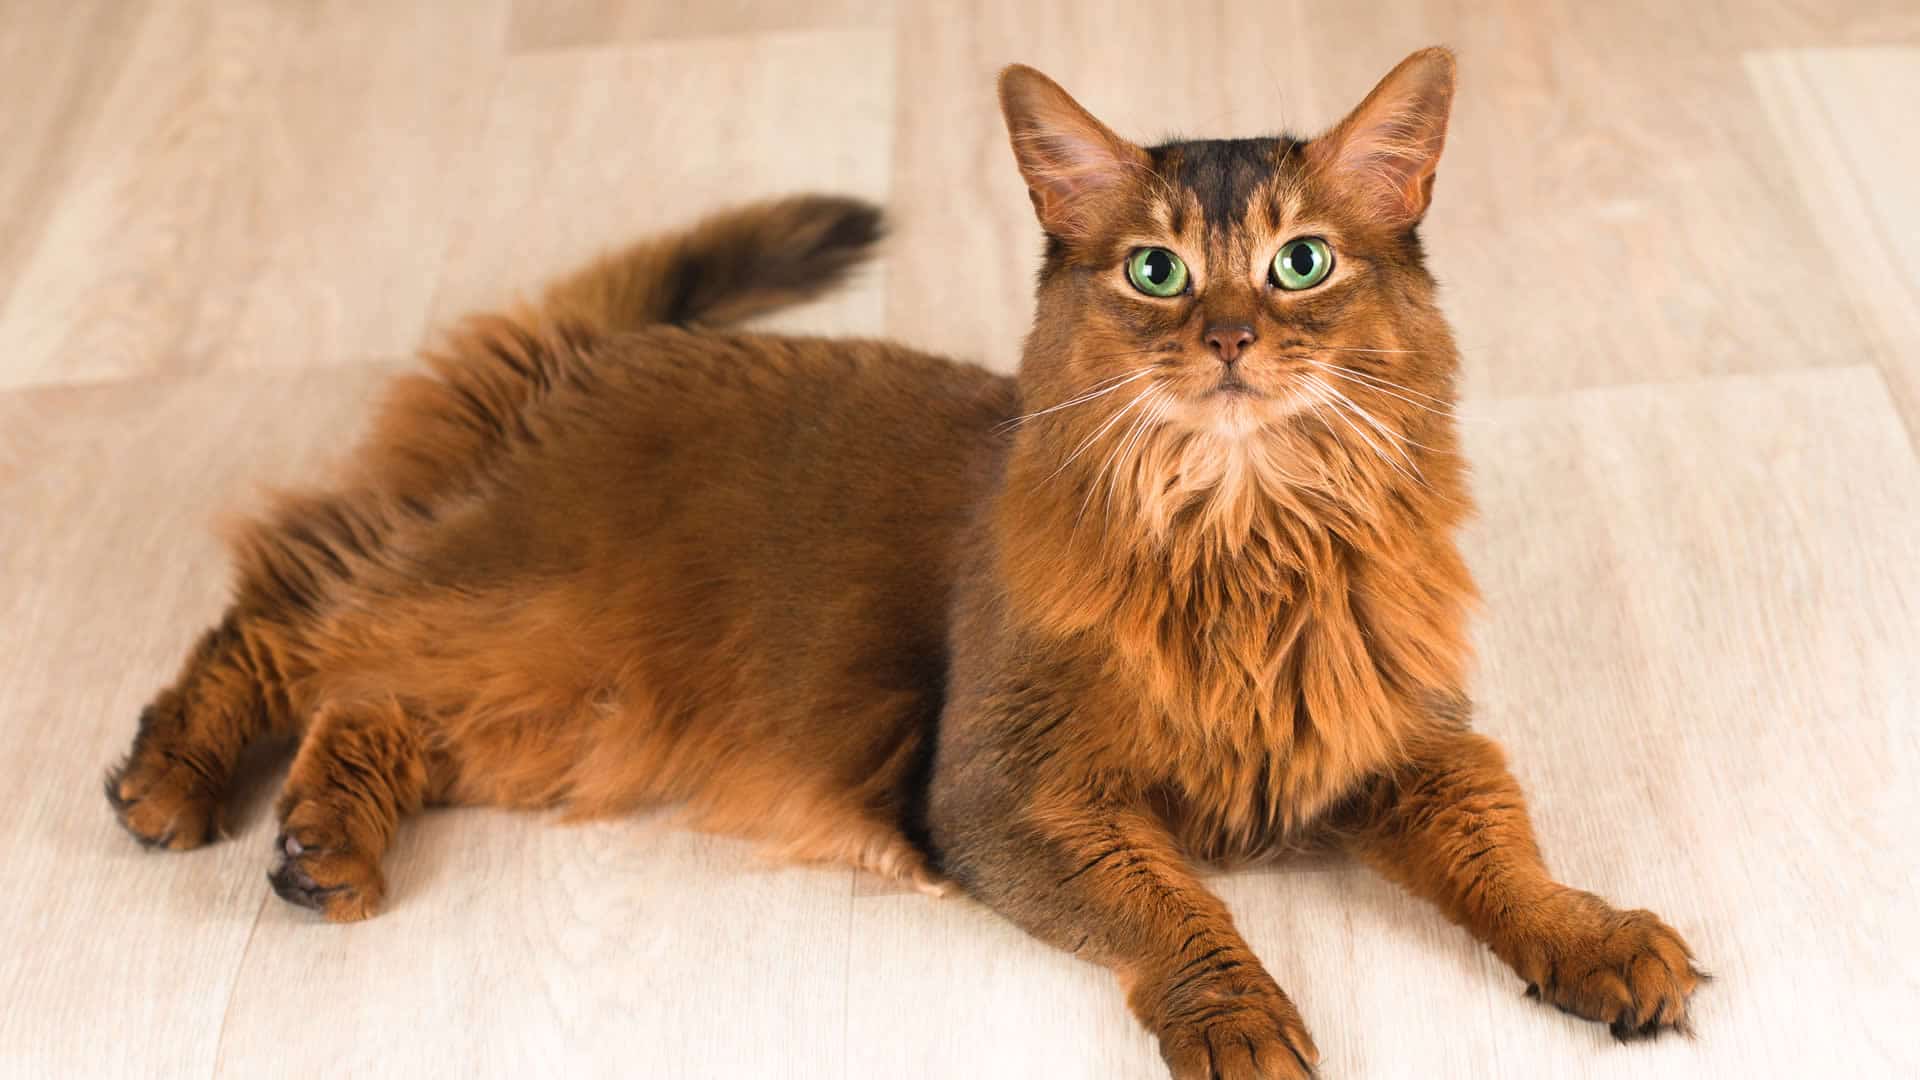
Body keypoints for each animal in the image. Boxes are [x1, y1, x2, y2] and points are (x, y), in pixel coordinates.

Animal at [108, 46, 1697, 1068]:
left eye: (1299, 261)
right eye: (1157, 271)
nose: (1232, 337)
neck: (1241, 541)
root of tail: (596, 354)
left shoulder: (1405, 744)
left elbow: (1509, 856)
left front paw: (1594, 940)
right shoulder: (1006, 794)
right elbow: (1181, 906)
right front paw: (1239, 1018)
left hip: (564, 714)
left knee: (372, 700)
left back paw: (323, 845)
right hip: (536, 618)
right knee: (294, 626)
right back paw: (174, 784)